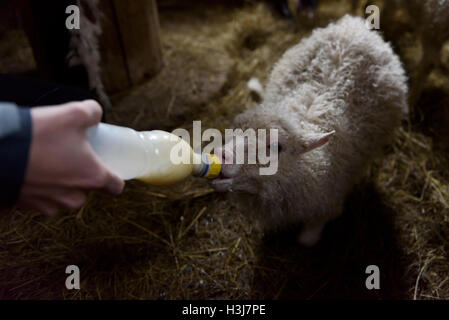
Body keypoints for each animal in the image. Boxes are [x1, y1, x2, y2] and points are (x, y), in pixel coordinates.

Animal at [212, 14, 408, 245]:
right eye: (235, 130)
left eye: (276, 147)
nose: (222, 154)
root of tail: (354, 24)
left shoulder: (327, 203)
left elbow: (306, 240)